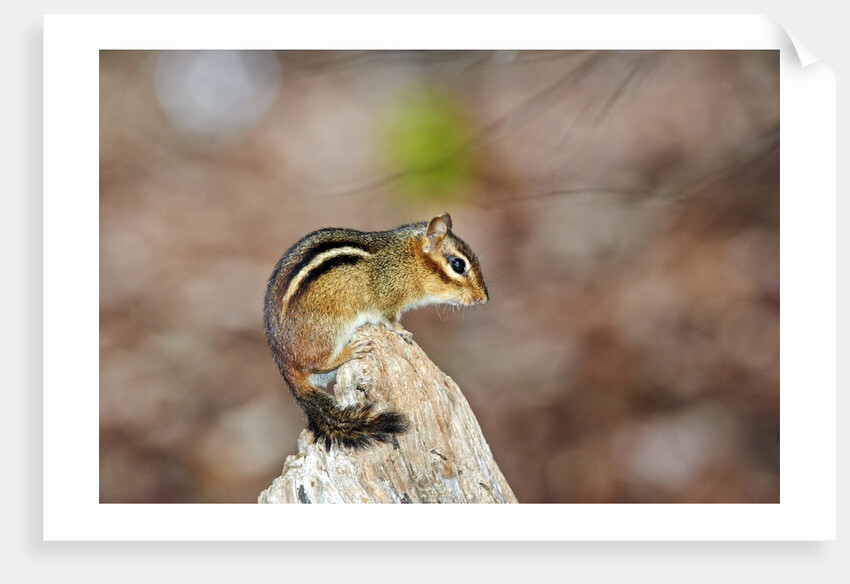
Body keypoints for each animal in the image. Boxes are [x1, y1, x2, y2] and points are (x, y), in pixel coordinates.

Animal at [263, 212, 489, 450]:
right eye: (458, 264)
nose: (484, 298)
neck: (408, 258)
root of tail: (284, 365)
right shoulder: (388, 302)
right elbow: (390, 321)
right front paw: (402, 332)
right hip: (330, 332)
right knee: (319, 362)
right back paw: (350, 351)